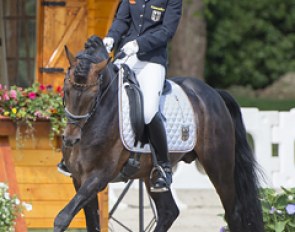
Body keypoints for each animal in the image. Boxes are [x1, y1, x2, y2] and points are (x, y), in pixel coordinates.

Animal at [54, 35, 264, 232]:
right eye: (66, 90)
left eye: (93, 95)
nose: (71, 139)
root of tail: (213, 93)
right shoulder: (79, 178)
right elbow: (90, 223)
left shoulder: (98, 177)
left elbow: (62, 217)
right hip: (152, 175)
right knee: (168, 212)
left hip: (219, 166)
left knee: (233, 212)